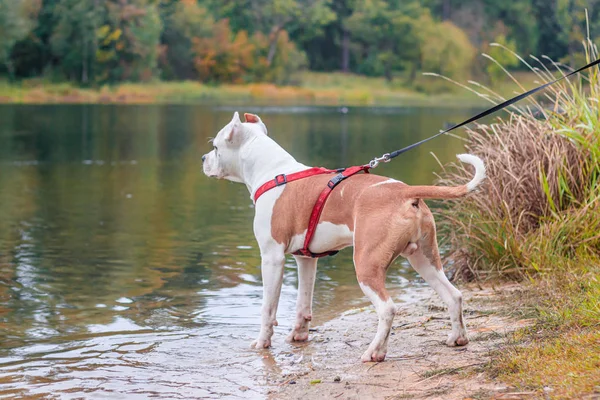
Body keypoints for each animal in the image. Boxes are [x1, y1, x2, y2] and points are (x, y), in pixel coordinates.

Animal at [204, 111, 486, 362]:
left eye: (216, 147)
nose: (203, 158)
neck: (273, 171)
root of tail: (404, 191)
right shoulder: (306, 260)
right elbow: (303, 304)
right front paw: (298, 336)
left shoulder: (272, 257)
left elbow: (267, 307)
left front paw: (262, 343)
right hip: (424, 259)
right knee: (453, 295)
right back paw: (458, 338)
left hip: (366, 264)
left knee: (387, 308)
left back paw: (375, 352)